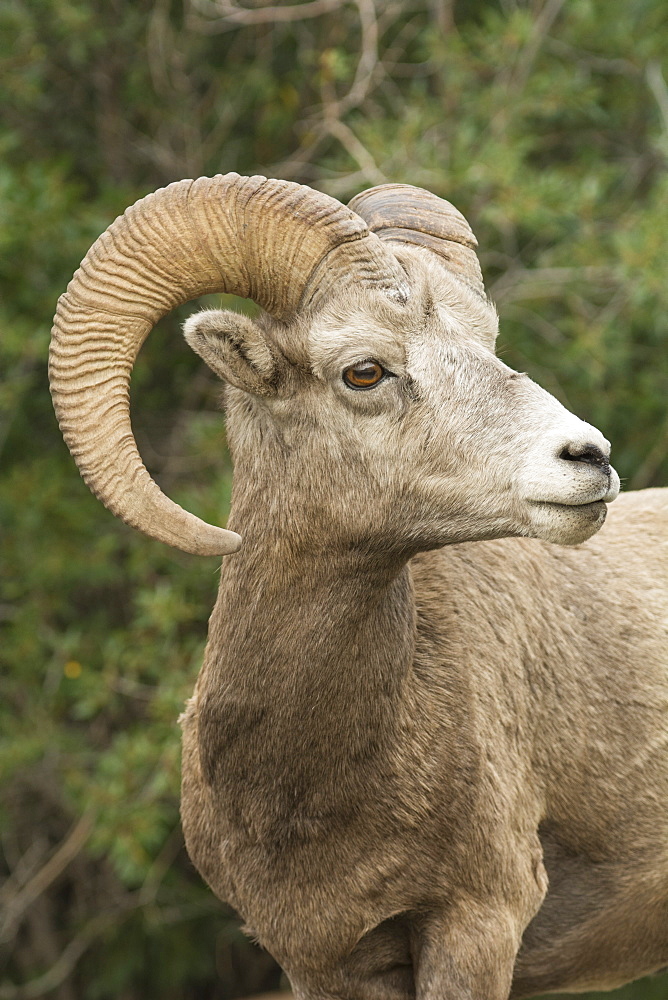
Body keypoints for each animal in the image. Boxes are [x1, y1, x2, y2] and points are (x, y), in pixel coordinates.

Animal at [49, 176, 664, 1000]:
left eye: (488, 344)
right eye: (364, 370)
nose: (588, 458)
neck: (312, 789)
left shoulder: (477, 927)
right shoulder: (324, 960)